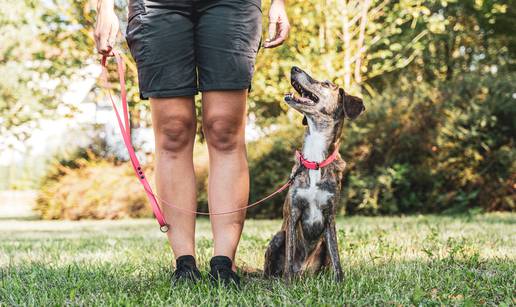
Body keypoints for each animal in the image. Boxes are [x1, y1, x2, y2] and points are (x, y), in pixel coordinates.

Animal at [264, 67, 364, 282]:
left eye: (326, 84)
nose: (294, 68)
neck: (315, 160)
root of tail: (304, 273)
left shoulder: (330, 215)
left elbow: (336, 256)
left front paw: (339, 282)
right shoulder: (293, 213)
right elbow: (290, 254)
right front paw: (287, 283)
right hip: (278, 236)